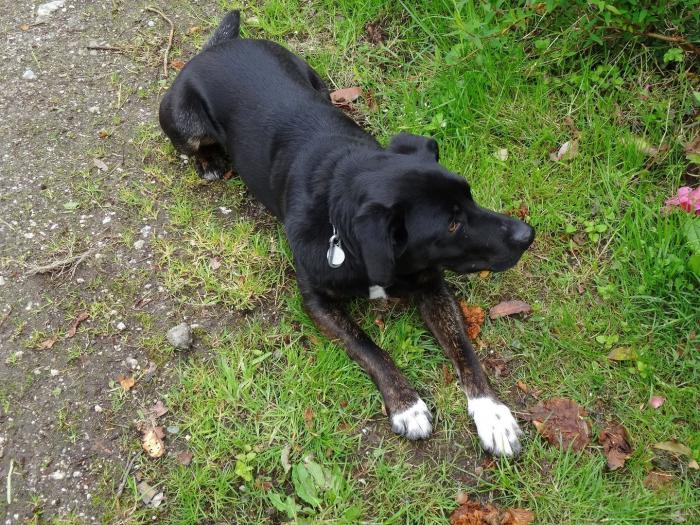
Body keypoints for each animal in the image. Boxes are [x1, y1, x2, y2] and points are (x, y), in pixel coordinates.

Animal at [159, 11, 532, 454]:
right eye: (453, 223)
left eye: (470, 196)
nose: (527, 233)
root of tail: (216, 47)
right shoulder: (317, 302)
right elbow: (369, 348)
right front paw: (406, 405)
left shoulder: (432, 286)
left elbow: (465, 351)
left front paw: (492, 413)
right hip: (184, 124)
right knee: (194, 147)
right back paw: (210, 162)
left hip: (314, 78)